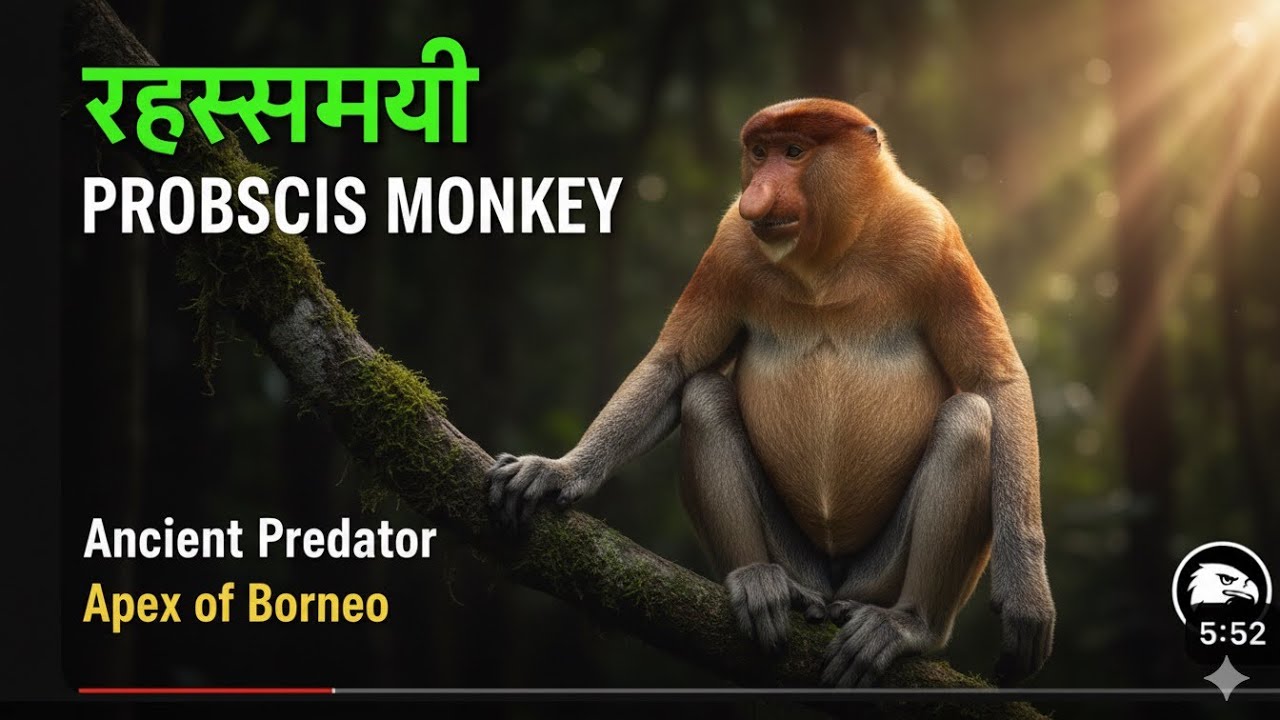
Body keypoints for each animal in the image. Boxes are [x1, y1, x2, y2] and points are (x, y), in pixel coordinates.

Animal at [486, 98, 1055, 688]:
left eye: (795, 152)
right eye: (759, 153)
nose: (756, 195)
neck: (828, 262)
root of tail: (834, 583)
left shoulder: (936, 237)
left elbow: (997, 382)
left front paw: (1025, 600)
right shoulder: (729, 247)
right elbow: (675, 365)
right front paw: (557, 470)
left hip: (881, 573)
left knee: (970, 420)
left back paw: (906, 625)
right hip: (793, 553)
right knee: (703, 397)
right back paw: (763, 581)